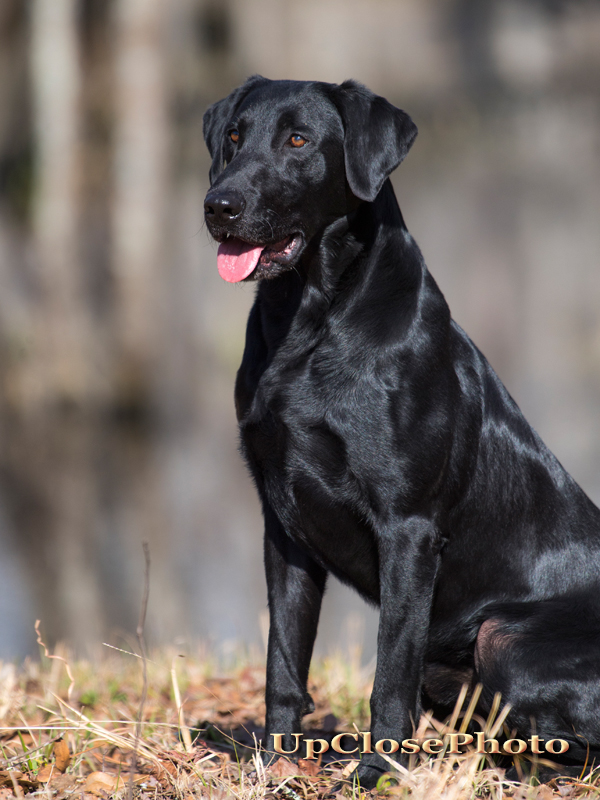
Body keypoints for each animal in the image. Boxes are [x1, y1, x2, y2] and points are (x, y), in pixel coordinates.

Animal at [203, 76, 600, 788]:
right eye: (234, 137)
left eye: (298, 140)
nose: (218, 206)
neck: (309, 319)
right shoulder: (283, 525)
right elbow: (284, 662)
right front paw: (274, 763)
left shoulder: (408, 528)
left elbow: (390, 670)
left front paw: (377, 773)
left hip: (502, 635)